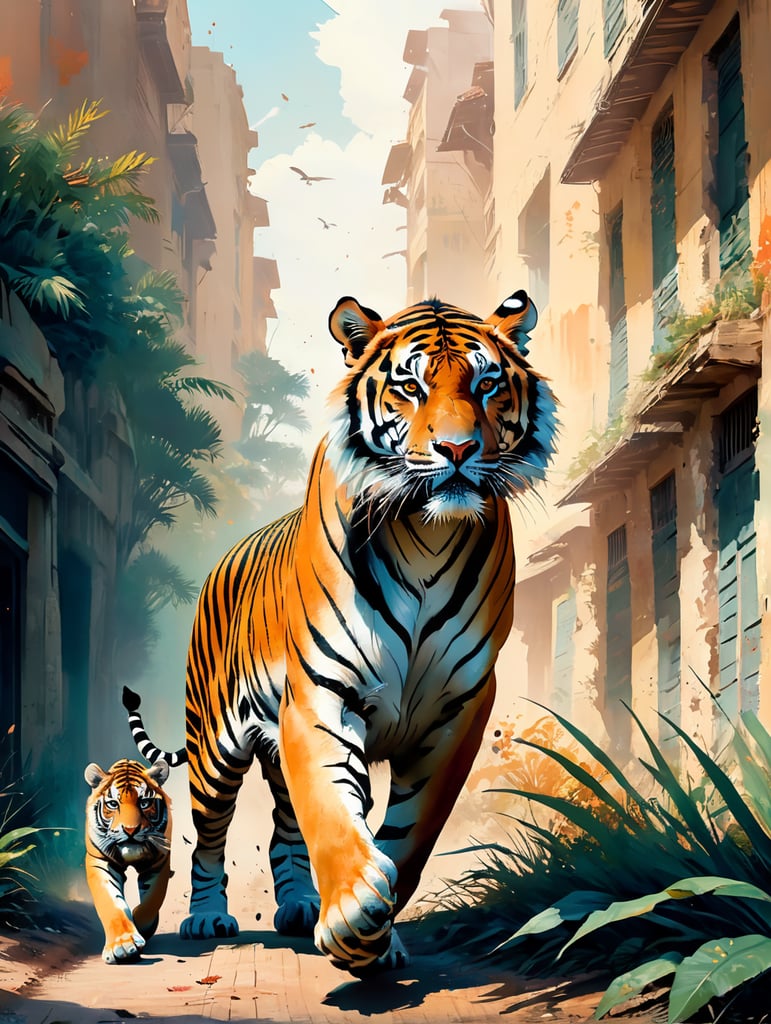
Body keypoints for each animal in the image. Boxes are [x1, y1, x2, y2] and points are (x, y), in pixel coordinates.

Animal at [84, 758, 172, 964]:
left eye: (145, 802)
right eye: (113, 804)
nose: (131, 830)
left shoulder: (160, 860)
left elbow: (154, 898)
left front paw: (140, 923)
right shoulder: (99, 861)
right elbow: (111, 903)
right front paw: (123, 946)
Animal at [123, 289, 558, 974]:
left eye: (487, 384)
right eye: (409, 386)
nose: (459, 450)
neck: (427, 533)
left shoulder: (458, 711)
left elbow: (408, 836)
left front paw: (376, 933)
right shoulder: (322, 698)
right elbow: (330, 808)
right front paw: (353, 909)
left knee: (283, 829)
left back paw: (302, 906)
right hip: (214, 748)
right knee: (209, 838)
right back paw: (206, 918)